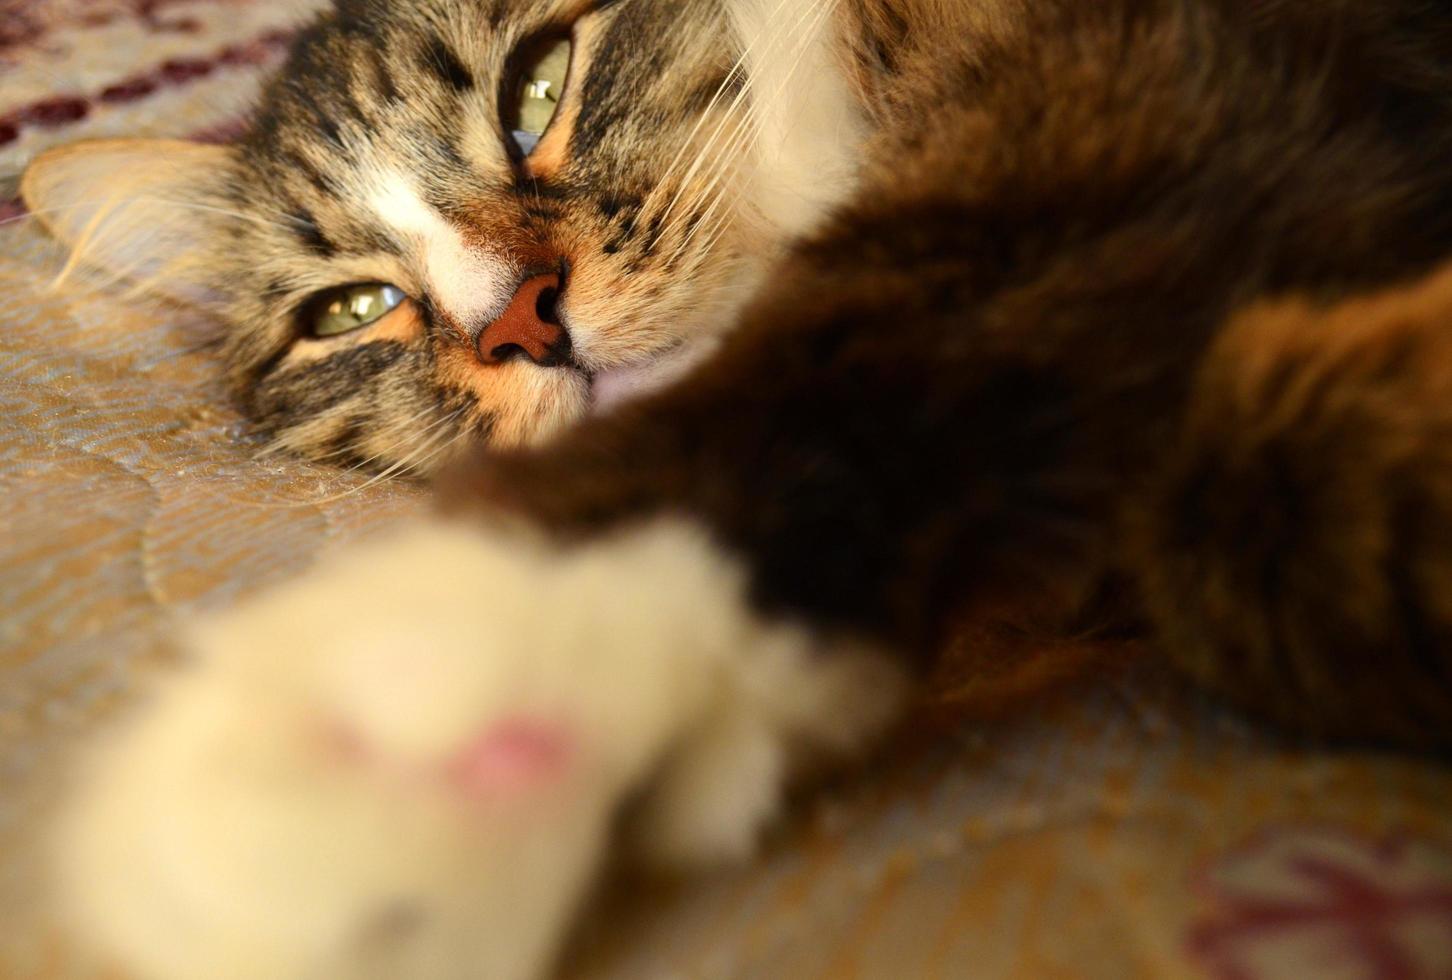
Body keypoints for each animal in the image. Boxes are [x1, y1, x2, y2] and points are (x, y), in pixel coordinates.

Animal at [17, 0, 1452, 975]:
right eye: (352, 311)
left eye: (539, 87)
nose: (520, 324)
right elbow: (1254, 527)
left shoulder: (1126, 87)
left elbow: (866, 340)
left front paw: (475, 663)